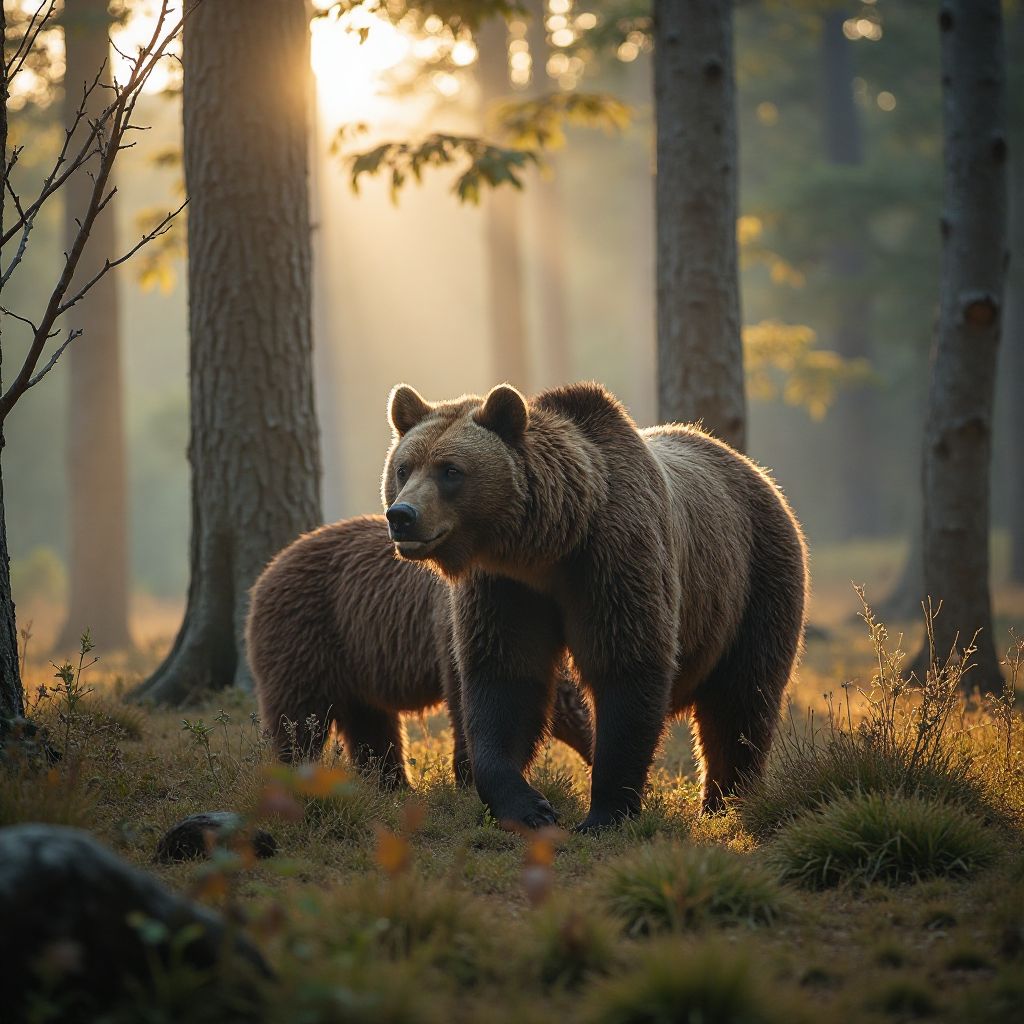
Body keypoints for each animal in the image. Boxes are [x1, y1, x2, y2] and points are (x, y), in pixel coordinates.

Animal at [245, 515, 594, 788]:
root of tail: (270, 568)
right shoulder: (453, 632)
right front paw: (469, 777)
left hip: (357, 660)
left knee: (370, 726)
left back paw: (392, 783)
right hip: (307, 635)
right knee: (300, 718)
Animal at [381, 381, 809, 831]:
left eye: (450, 470)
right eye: (404, 468)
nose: (402, 515)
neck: (548, 548)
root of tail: (754, 469)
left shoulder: (614, 559)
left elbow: (627, 667)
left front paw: (604, 813)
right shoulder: (508, 590)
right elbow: (504, 680)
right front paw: (529, 806)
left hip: (755, 579)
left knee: (742, 698)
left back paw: (727, 800)